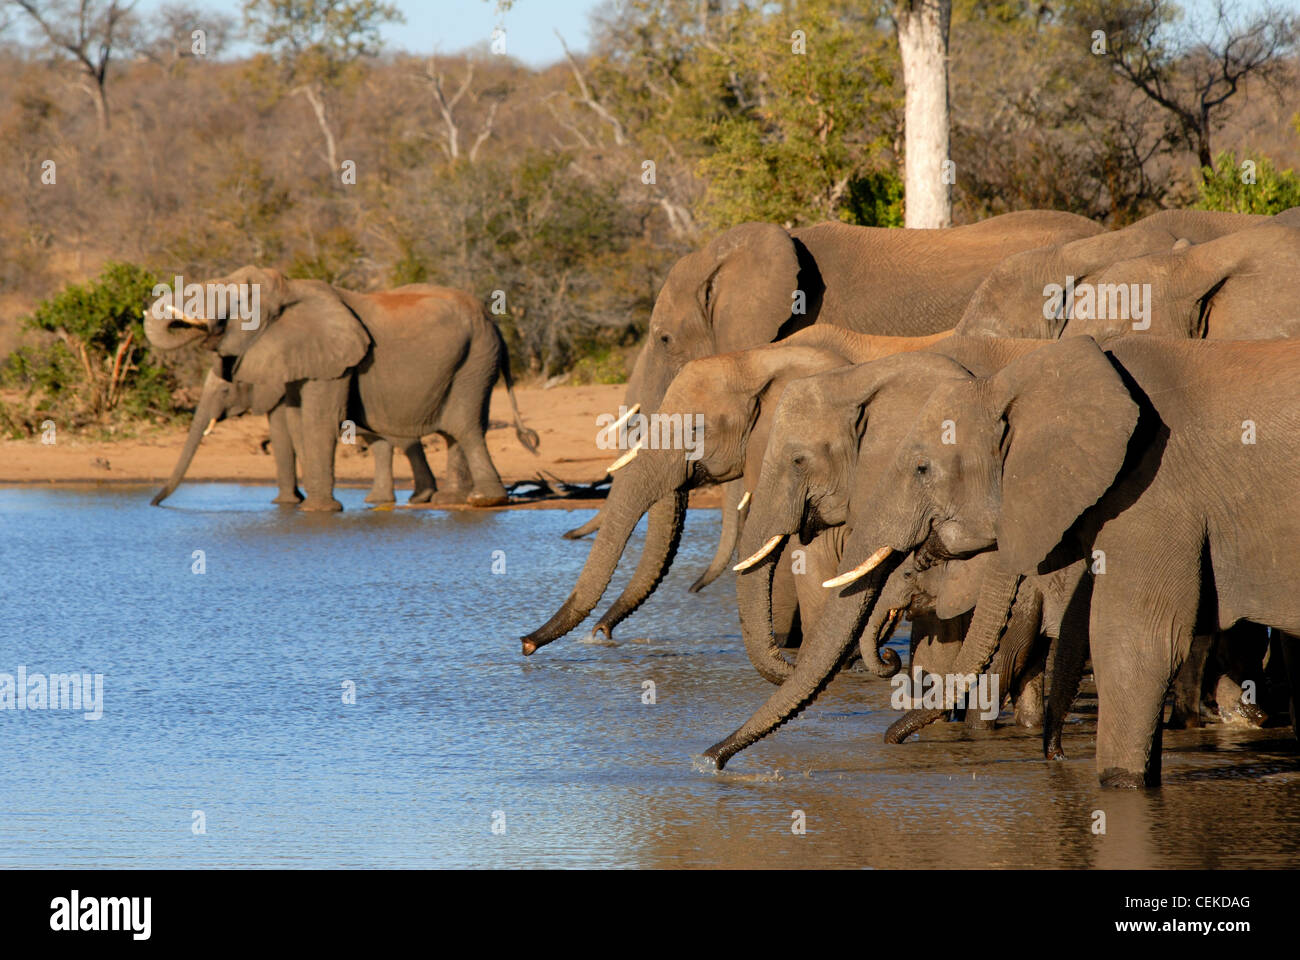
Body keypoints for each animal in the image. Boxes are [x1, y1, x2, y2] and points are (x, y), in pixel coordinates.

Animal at [144, 267, 538, 511]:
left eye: (238, 303)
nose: (153, 504)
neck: (291, 287)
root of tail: (494, 323)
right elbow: (297, 423)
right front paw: (300, 505)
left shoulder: (337, 362)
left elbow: (313, 424)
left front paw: (317, 510)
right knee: (452, 430)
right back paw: (448, 501)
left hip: (476, 360)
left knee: (464, 425)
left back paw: (484, 501)